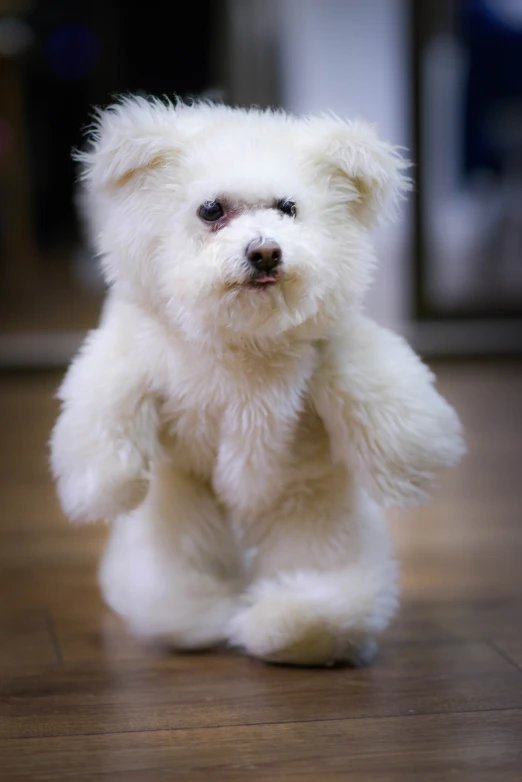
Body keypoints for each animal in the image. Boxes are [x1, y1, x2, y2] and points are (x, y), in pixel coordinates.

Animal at [49, 98, 464, 668]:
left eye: (288, 207)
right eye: (210, 210)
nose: (266, 252)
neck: (247, 342)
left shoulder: (337, 350)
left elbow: (383, 388)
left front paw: (411, 459)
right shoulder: (137, 355)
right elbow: (103, 403)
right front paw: (101, 487)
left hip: (311, 510)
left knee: (321, 574)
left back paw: (298, 622)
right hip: (185, 506)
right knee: (170, 580)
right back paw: (204, 614)